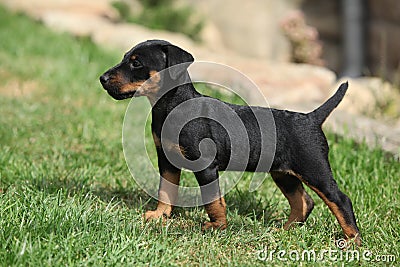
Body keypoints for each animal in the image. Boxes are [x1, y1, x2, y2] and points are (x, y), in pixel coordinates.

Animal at [99, 38, 360, 246]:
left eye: (136, 63)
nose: (102, 78)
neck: (172, 106)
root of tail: (311, 117)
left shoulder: (205, 165)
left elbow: (213, 200)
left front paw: (217, 227)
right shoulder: (167, 160)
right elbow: (166, 190)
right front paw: (159, 216)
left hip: (314, 168)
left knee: (340, 199)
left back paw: (353, 241)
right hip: (283, 173)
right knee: (303, 201)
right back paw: (283, 231)